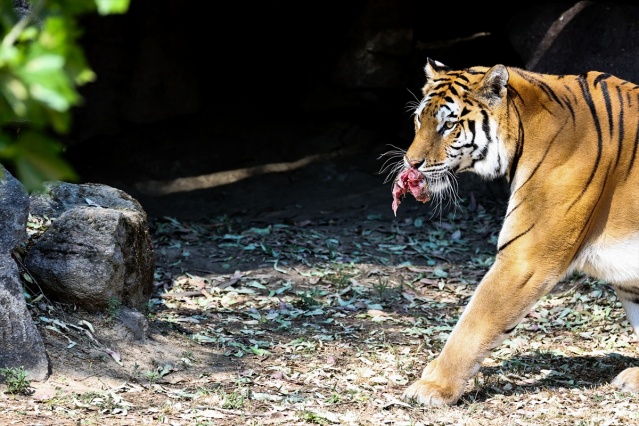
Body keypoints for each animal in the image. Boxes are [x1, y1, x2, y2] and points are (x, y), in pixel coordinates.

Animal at [390, 57, 639, 406]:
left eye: (449, 126)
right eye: (418, 119)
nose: (411, 163)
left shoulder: (524, 260)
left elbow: (474, 323)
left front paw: (434, 386)